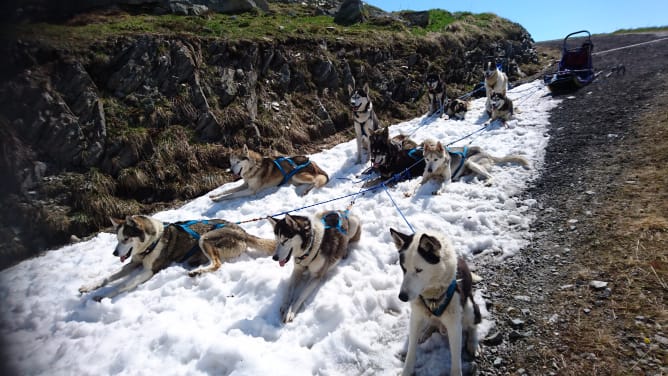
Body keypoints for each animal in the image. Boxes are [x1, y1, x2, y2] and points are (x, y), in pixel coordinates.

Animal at [77, 216, 274, 302]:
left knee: (217, 264)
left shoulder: (149, 270)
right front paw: (89, 287)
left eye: (126, 239)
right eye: (117, 239)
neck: (151, 242)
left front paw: (103, 296)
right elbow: (108, 277)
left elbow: (123, 284)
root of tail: (243, 231)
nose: (115, 253)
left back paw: (197, 272)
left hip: (205, 238)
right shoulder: (133, 263)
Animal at [388, 228, 482, 376]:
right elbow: (411, 351)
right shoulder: (416, 317)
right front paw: (407, 371)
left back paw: (473, 343)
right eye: (403, 268)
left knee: (474, 325)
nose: (402, 297)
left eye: (419, 270)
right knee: (432, 322)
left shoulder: (454, 325)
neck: (432, 292)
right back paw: (425, 332)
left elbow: (456, 361)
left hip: (470, 308)